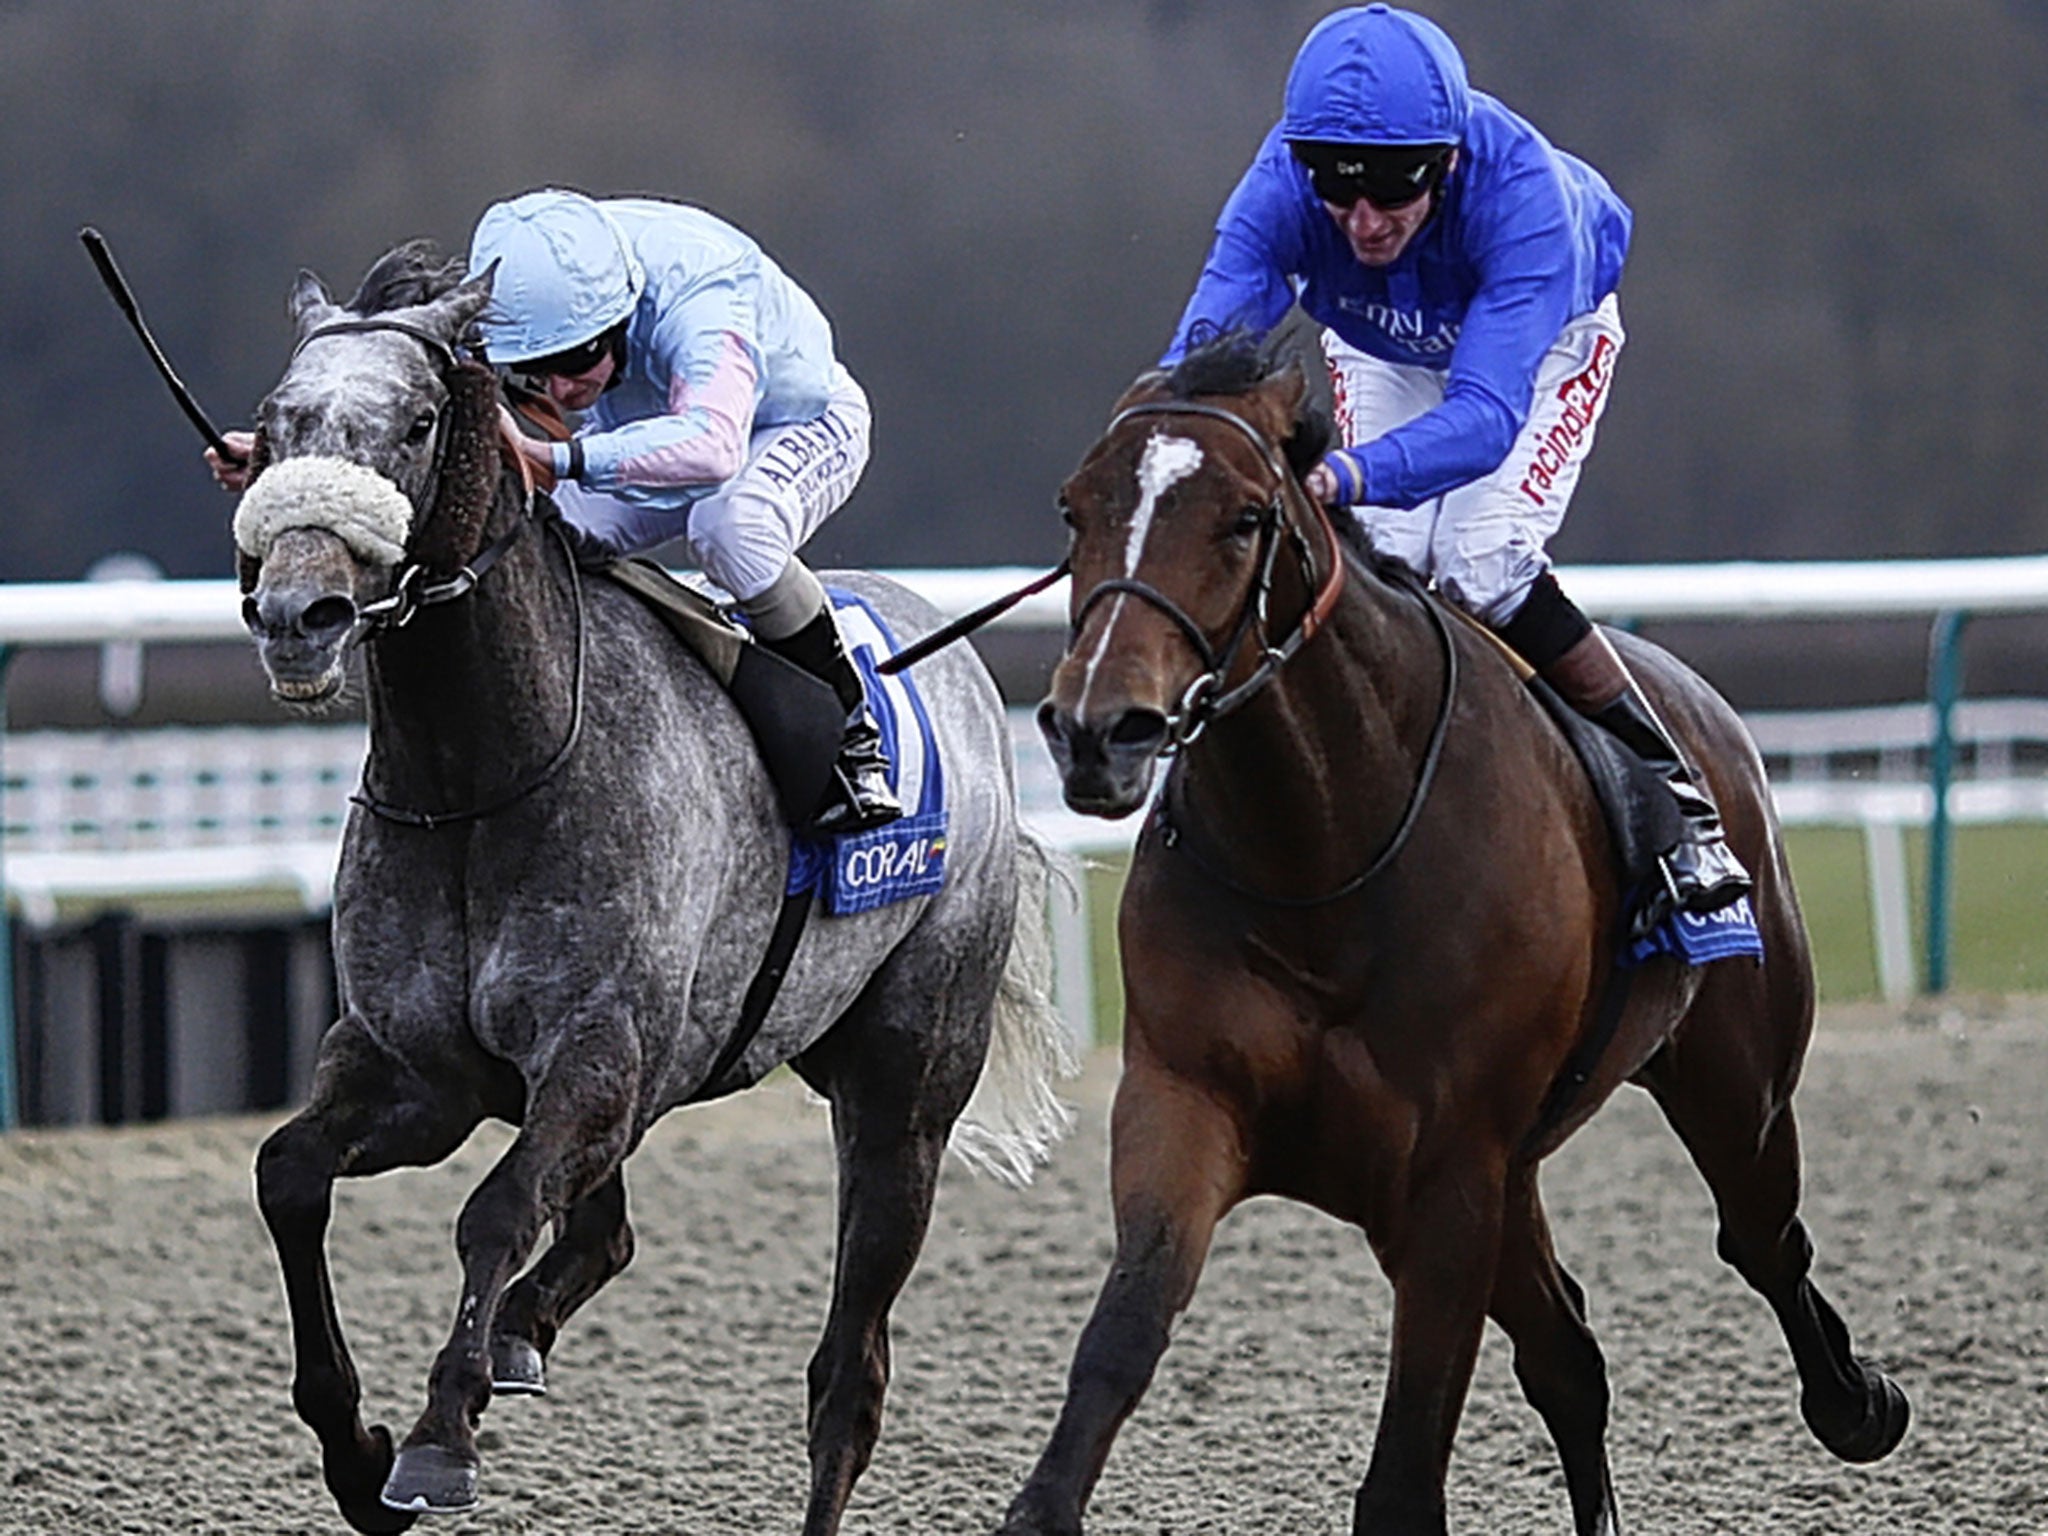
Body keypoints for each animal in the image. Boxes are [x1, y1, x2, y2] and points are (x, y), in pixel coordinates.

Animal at [235, 246, 1073, 1531]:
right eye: (275, 425)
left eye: (418, 422)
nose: (298, 613)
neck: (485, 774)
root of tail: (959, 665)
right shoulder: (416, 1073)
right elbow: (288, 1175)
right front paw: (356, 1448)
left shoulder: (596, 1055)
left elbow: (492, 1212)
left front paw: (434, 1439)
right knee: (607, 1235)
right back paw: (520, 1334)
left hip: (903, 1091)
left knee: (849, 1374)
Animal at [1003, 339, 1900, 1536]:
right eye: (1074, 508)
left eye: (1245, 517)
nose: (1101, 729)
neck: (1323, 853)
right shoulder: (1184, 1100)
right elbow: (1121, 1334)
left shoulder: (1449, 1173)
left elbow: (1402, 1475)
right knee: (1569, 1354)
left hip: (1734, 1088)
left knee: (1761, 1241)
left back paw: (1861, 1404)